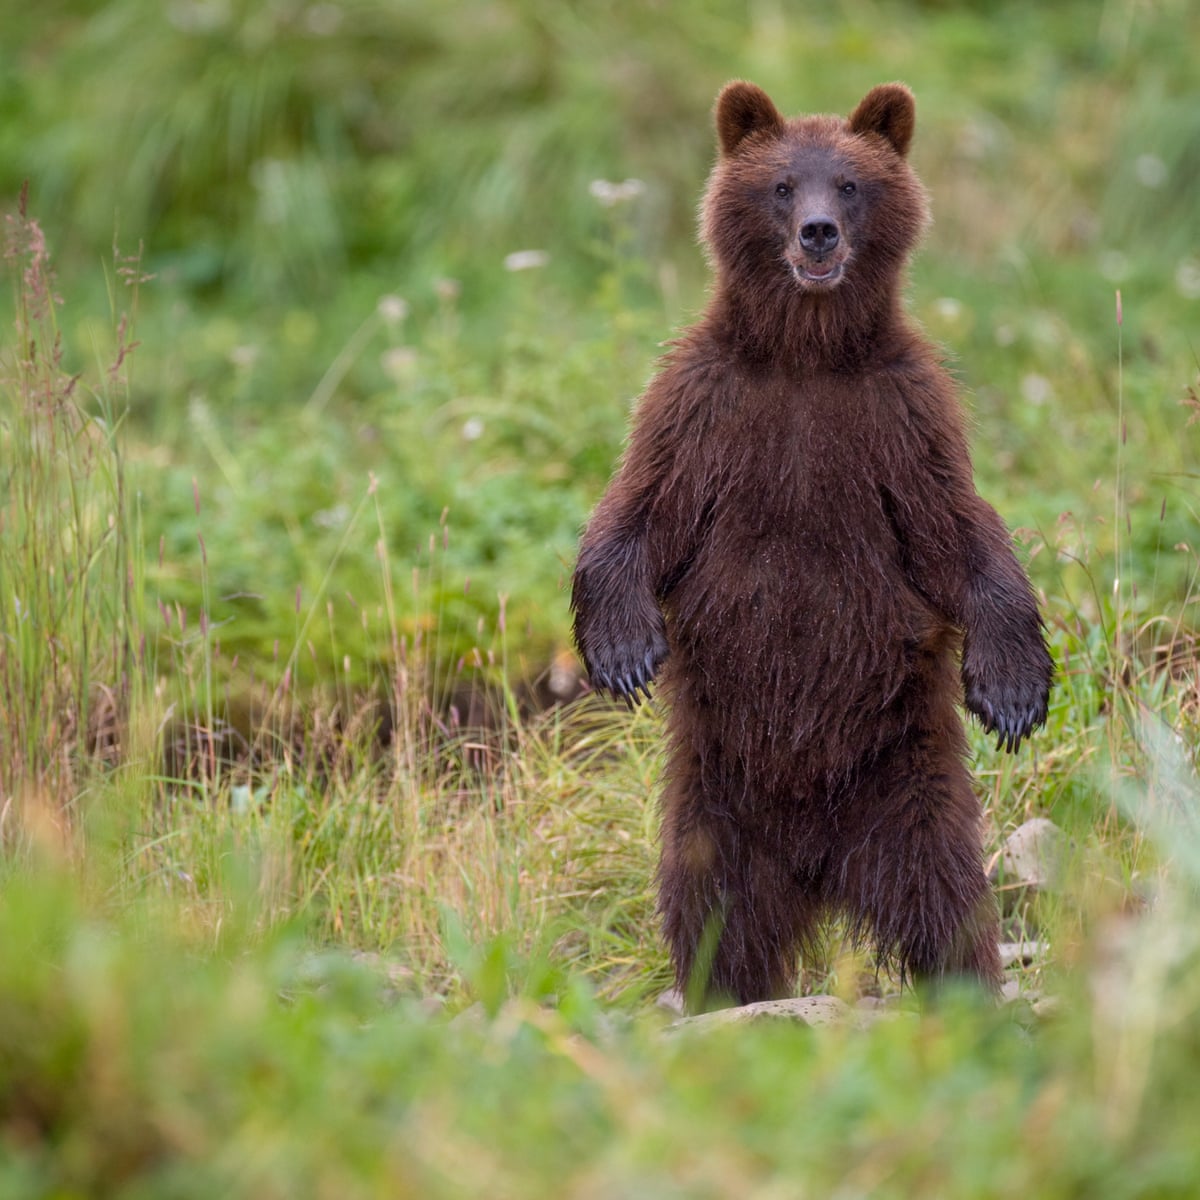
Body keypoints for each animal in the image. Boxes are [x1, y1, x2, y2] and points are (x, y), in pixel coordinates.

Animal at [570, 80, 1054, 1009]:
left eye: (852, 184)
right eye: (784, 185)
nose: (818, 232)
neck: (805, 354)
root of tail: (820, 871)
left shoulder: (899, 421)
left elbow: (960, 536)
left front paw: (1013, 689)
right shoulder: (705, 408)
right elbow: (639, 511)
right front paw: (622, 651)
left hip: (909, 787)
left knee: (947, 903)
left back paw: (967, 990)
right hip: (714, 803)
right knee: (716, 913)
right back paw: (722, 996)